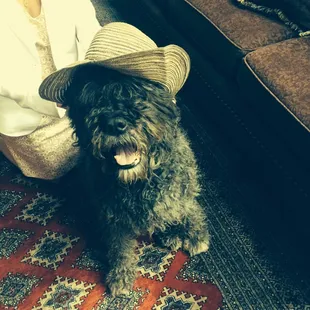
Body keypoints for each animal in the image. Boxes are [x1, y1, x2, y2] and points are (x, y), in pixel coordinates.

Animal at [63, 65, 209, 296]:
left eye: (137, 94)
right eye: (92, 100)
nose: (114, 124)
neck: (139, 182)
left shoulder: (181, 191)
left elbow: (191, 209)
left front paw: (196, 234)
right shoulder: (113, 217)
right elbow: (119, 247)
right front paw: (121, 273)